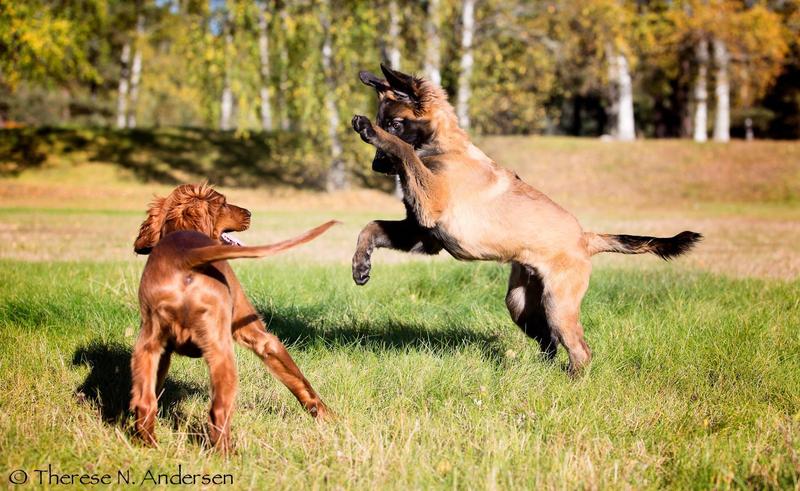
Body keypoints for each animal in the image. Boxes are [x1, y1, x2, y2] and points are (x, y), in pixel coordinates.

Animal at [132, 184, 338, 454]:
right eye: (222, 203)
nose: (249, 213)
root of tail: (184, 258)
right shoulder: (261, 337)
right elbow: (301, 383)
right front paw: (331, 418)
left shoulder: (163, 352)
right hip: (222, 350)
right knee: (219, 409)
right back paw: (230, 454)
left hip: (146, 345)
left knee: (145, 403)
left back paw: (148, 446)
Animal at [350, 63, 700, 374]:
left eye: (394, 123)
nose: (376, 167)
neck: (443, 149)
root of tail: (584, 238)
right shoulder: (425, 233)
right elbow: (370, 227)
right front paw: (360, 265)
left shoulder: (430, 205)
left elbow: (404, 151)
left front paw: (369, 130)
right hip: (521, 304)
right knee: (550, 343)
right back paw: (539, 373)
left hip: (558, 305)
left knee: (579, 350)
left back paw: (571, 382)